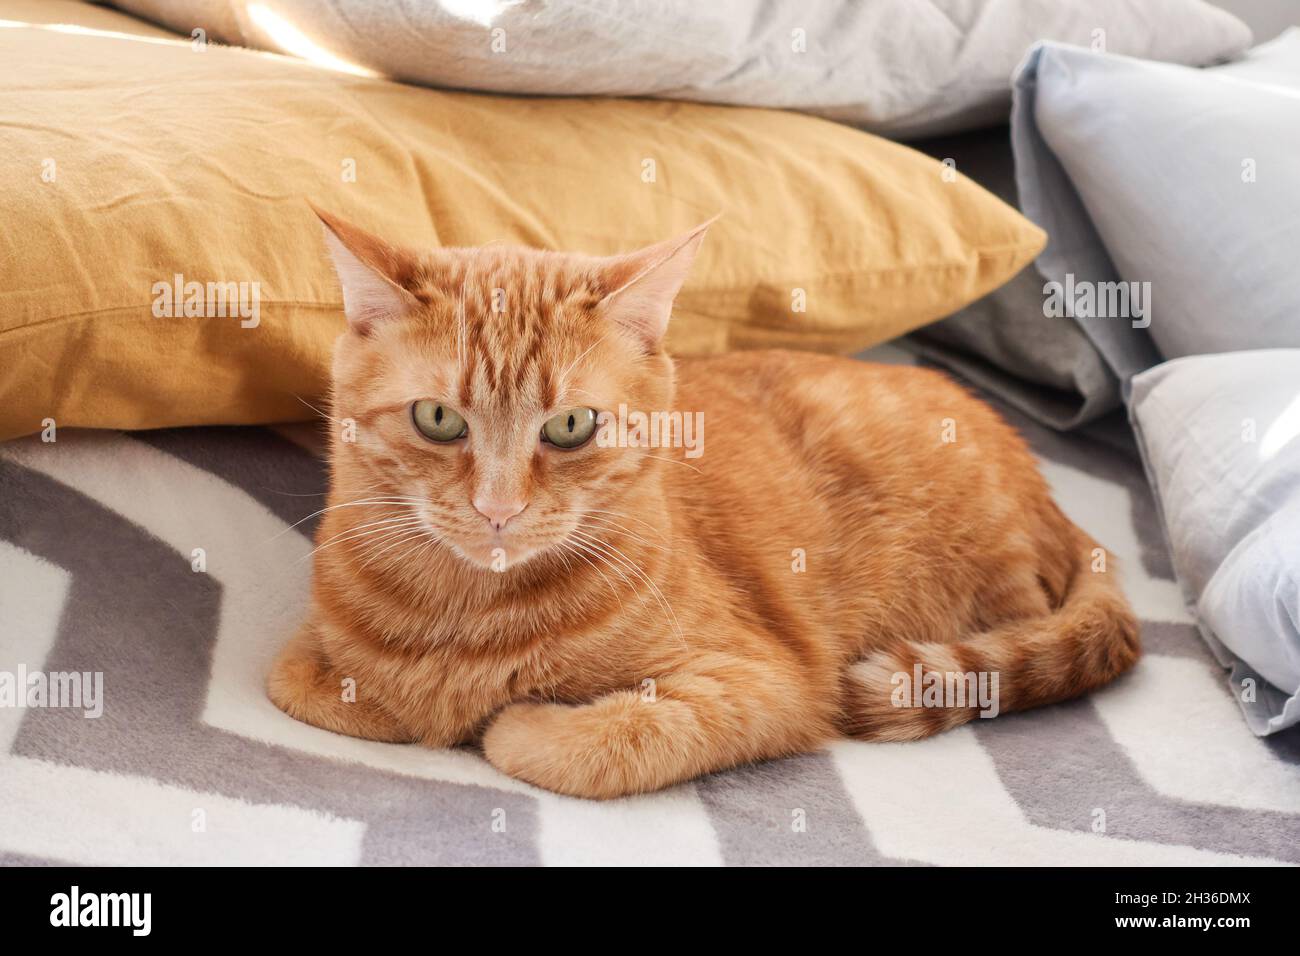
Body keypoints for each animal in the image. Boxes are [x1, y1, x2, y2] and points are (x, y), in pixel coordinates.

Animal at [266, 210, 1138, 801]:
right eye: (438, 419)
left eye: (571, 427)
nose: (498, 509)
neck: (466, 615)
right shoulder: (310, 652)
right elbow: (308, 682)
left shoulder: (769, 682)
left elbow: (600, 738)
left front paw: (510, 721)